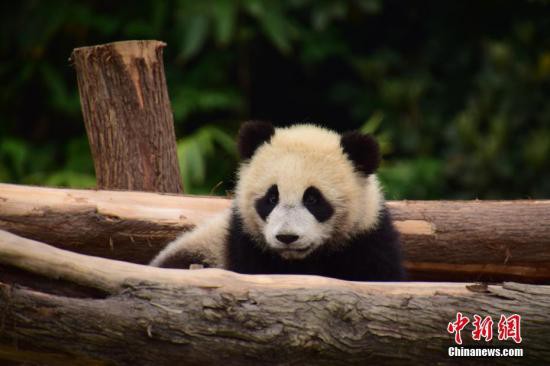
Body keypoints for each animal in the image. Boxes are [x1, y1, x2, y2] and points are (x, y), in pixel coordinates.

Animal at [151, 121, 406, 280]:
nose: (287, 237)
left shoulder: (367, 239)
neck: (297, 262)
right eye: (272, 197)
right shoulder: (244, 242)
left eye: (313, 199)